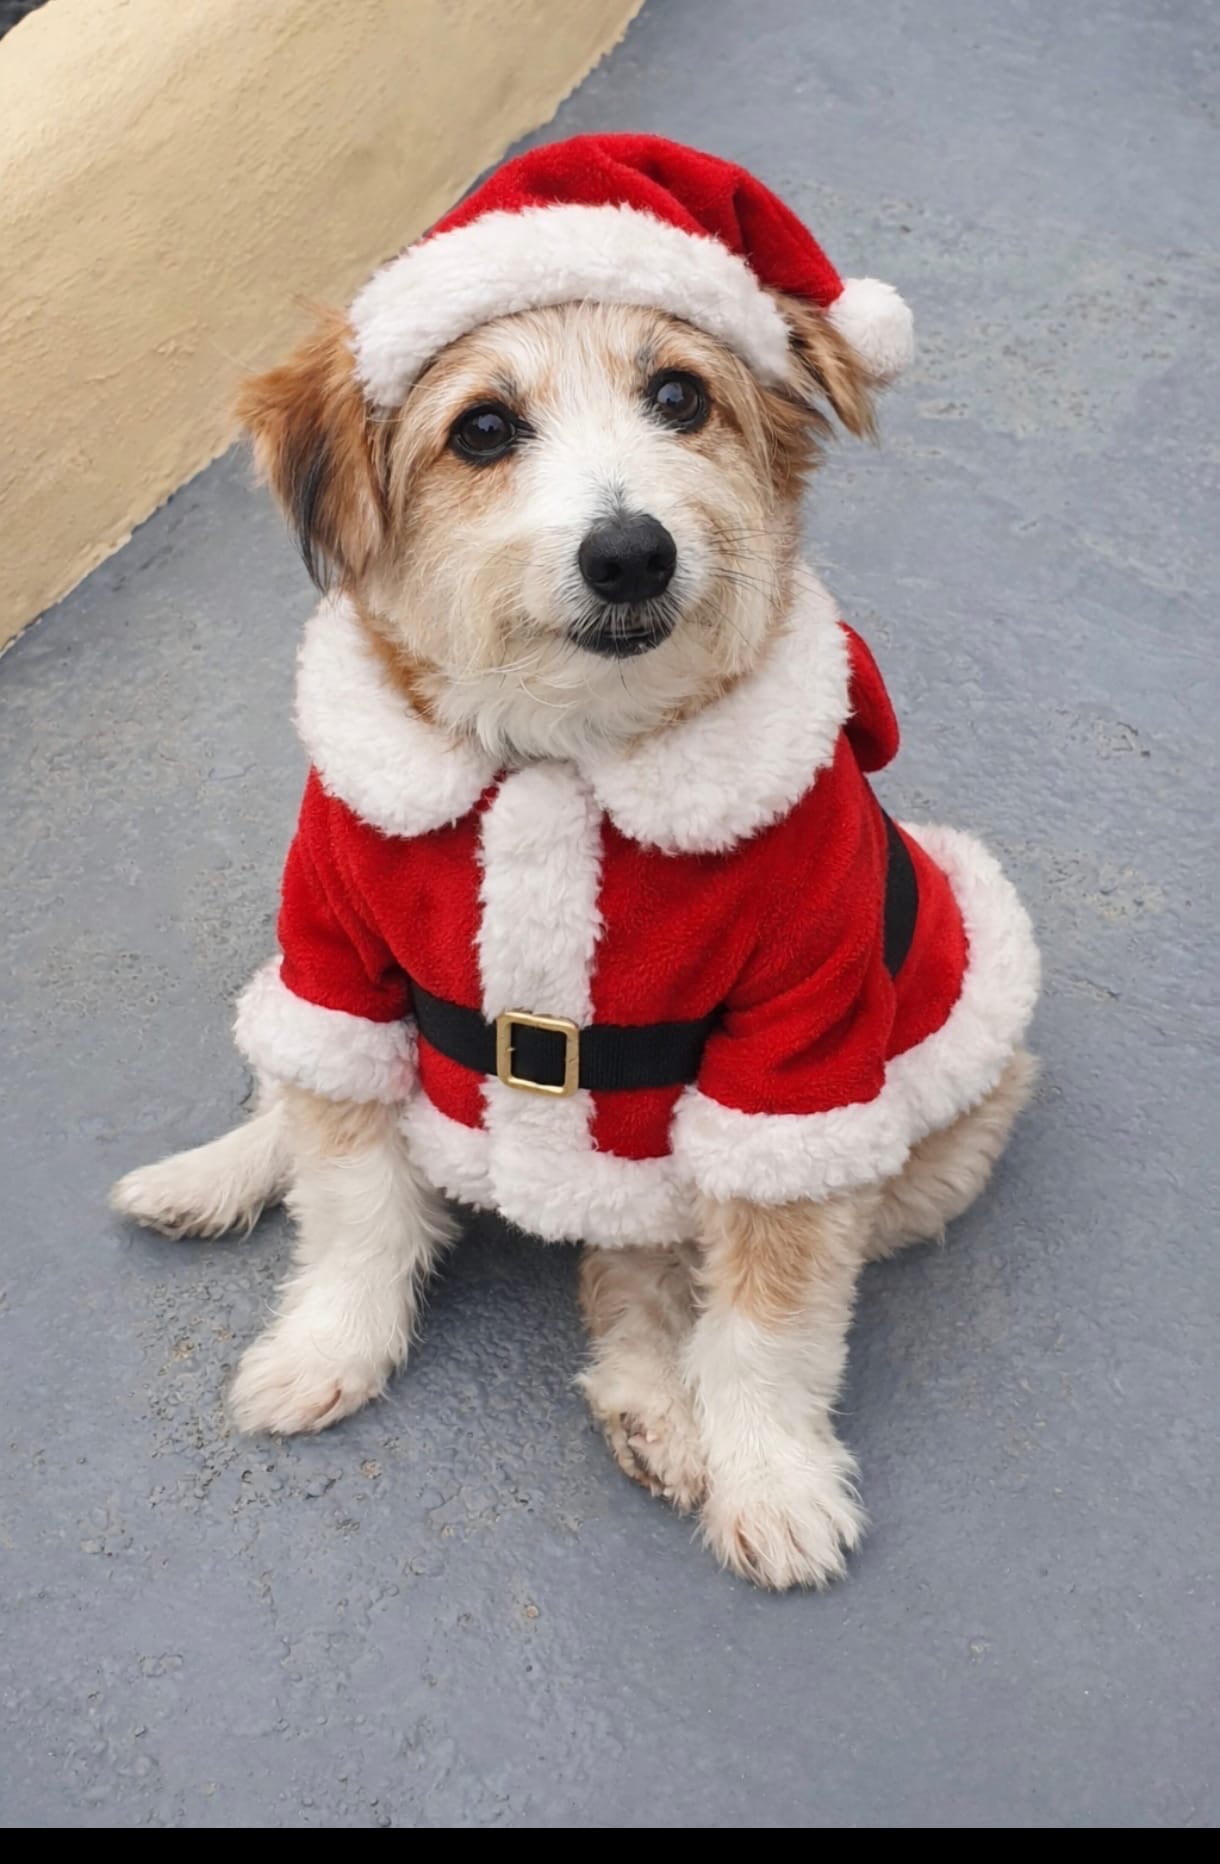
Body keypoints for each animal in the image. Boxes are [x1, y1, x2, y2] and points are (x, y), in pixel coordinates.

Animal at [111, 136, 1039, 1588]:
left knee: (649, 1267)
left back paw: (655, 1402)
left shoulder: (796, 1061)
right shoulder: (338, 961)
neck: (560, 758)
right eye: (483, 429)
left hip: (937, 1112)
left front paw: (770, 1475)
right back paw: (209, 1177)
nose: (629, 551)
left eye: (680, 395)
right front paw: (324, 1348)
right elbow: (355, 1208)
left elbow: (767, 1324)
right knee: (313, 1106)